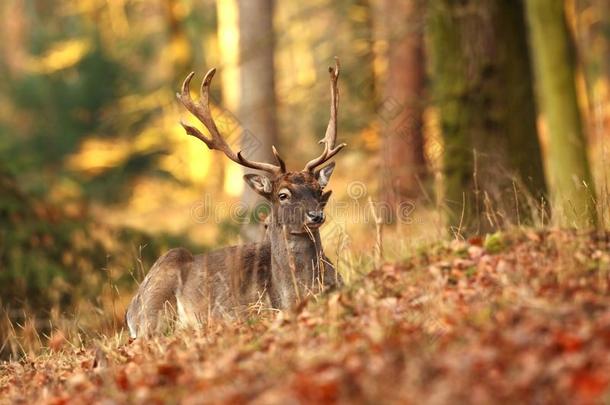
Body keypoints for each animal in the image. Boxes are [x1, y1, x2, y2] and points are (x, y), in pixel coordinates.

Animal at [126, 59, 344, 338]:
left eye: (317, 189)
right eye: (283, 194)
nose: (316, 215)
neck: (294, 292)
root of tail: (130, 310)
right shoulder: (250, 310)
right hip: (155, 308)